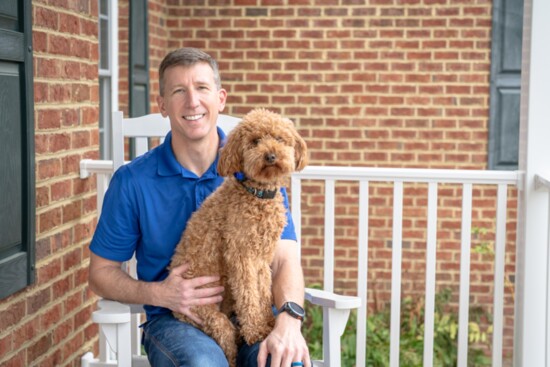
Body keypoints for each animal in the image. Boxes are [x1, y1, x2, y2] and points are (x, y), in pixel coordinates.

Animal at [170, 108, 308, 366]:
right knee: (227, 341)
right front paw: (256, 330)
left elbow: (262, 292)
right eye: (255, 141)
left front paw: (269, 322)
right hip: (207, 314)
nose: (271, 155)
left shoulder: (261, 259)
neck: (258, 195)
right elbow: (248, 295)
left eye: (280, 139)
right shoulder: (240, 255)